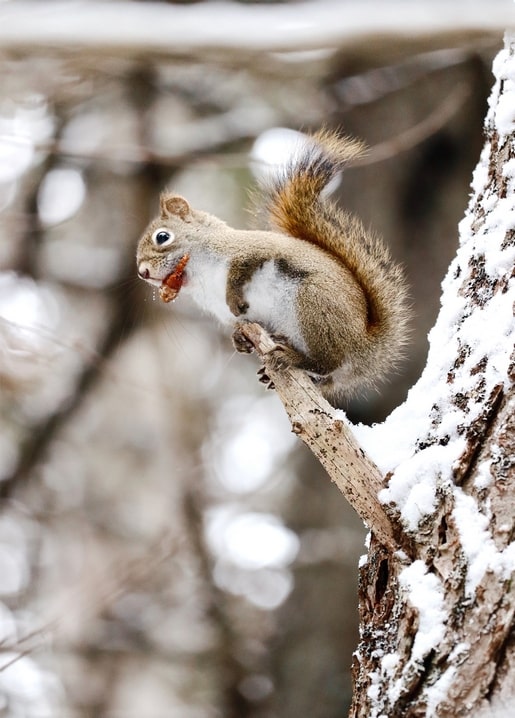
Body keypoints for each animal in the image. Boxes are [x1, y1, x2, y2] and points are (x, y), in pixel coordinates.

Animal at [136, 129, 410, 406]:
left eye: (162, 237)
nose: (142, 272)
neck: (200, 278)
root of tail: (366, 348)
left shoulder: (251, 250)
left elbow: (241, 270)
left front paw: (234, 298)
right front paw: (239, 340)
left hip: (315, 304)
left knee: (326, 362)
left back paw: (291, 357)